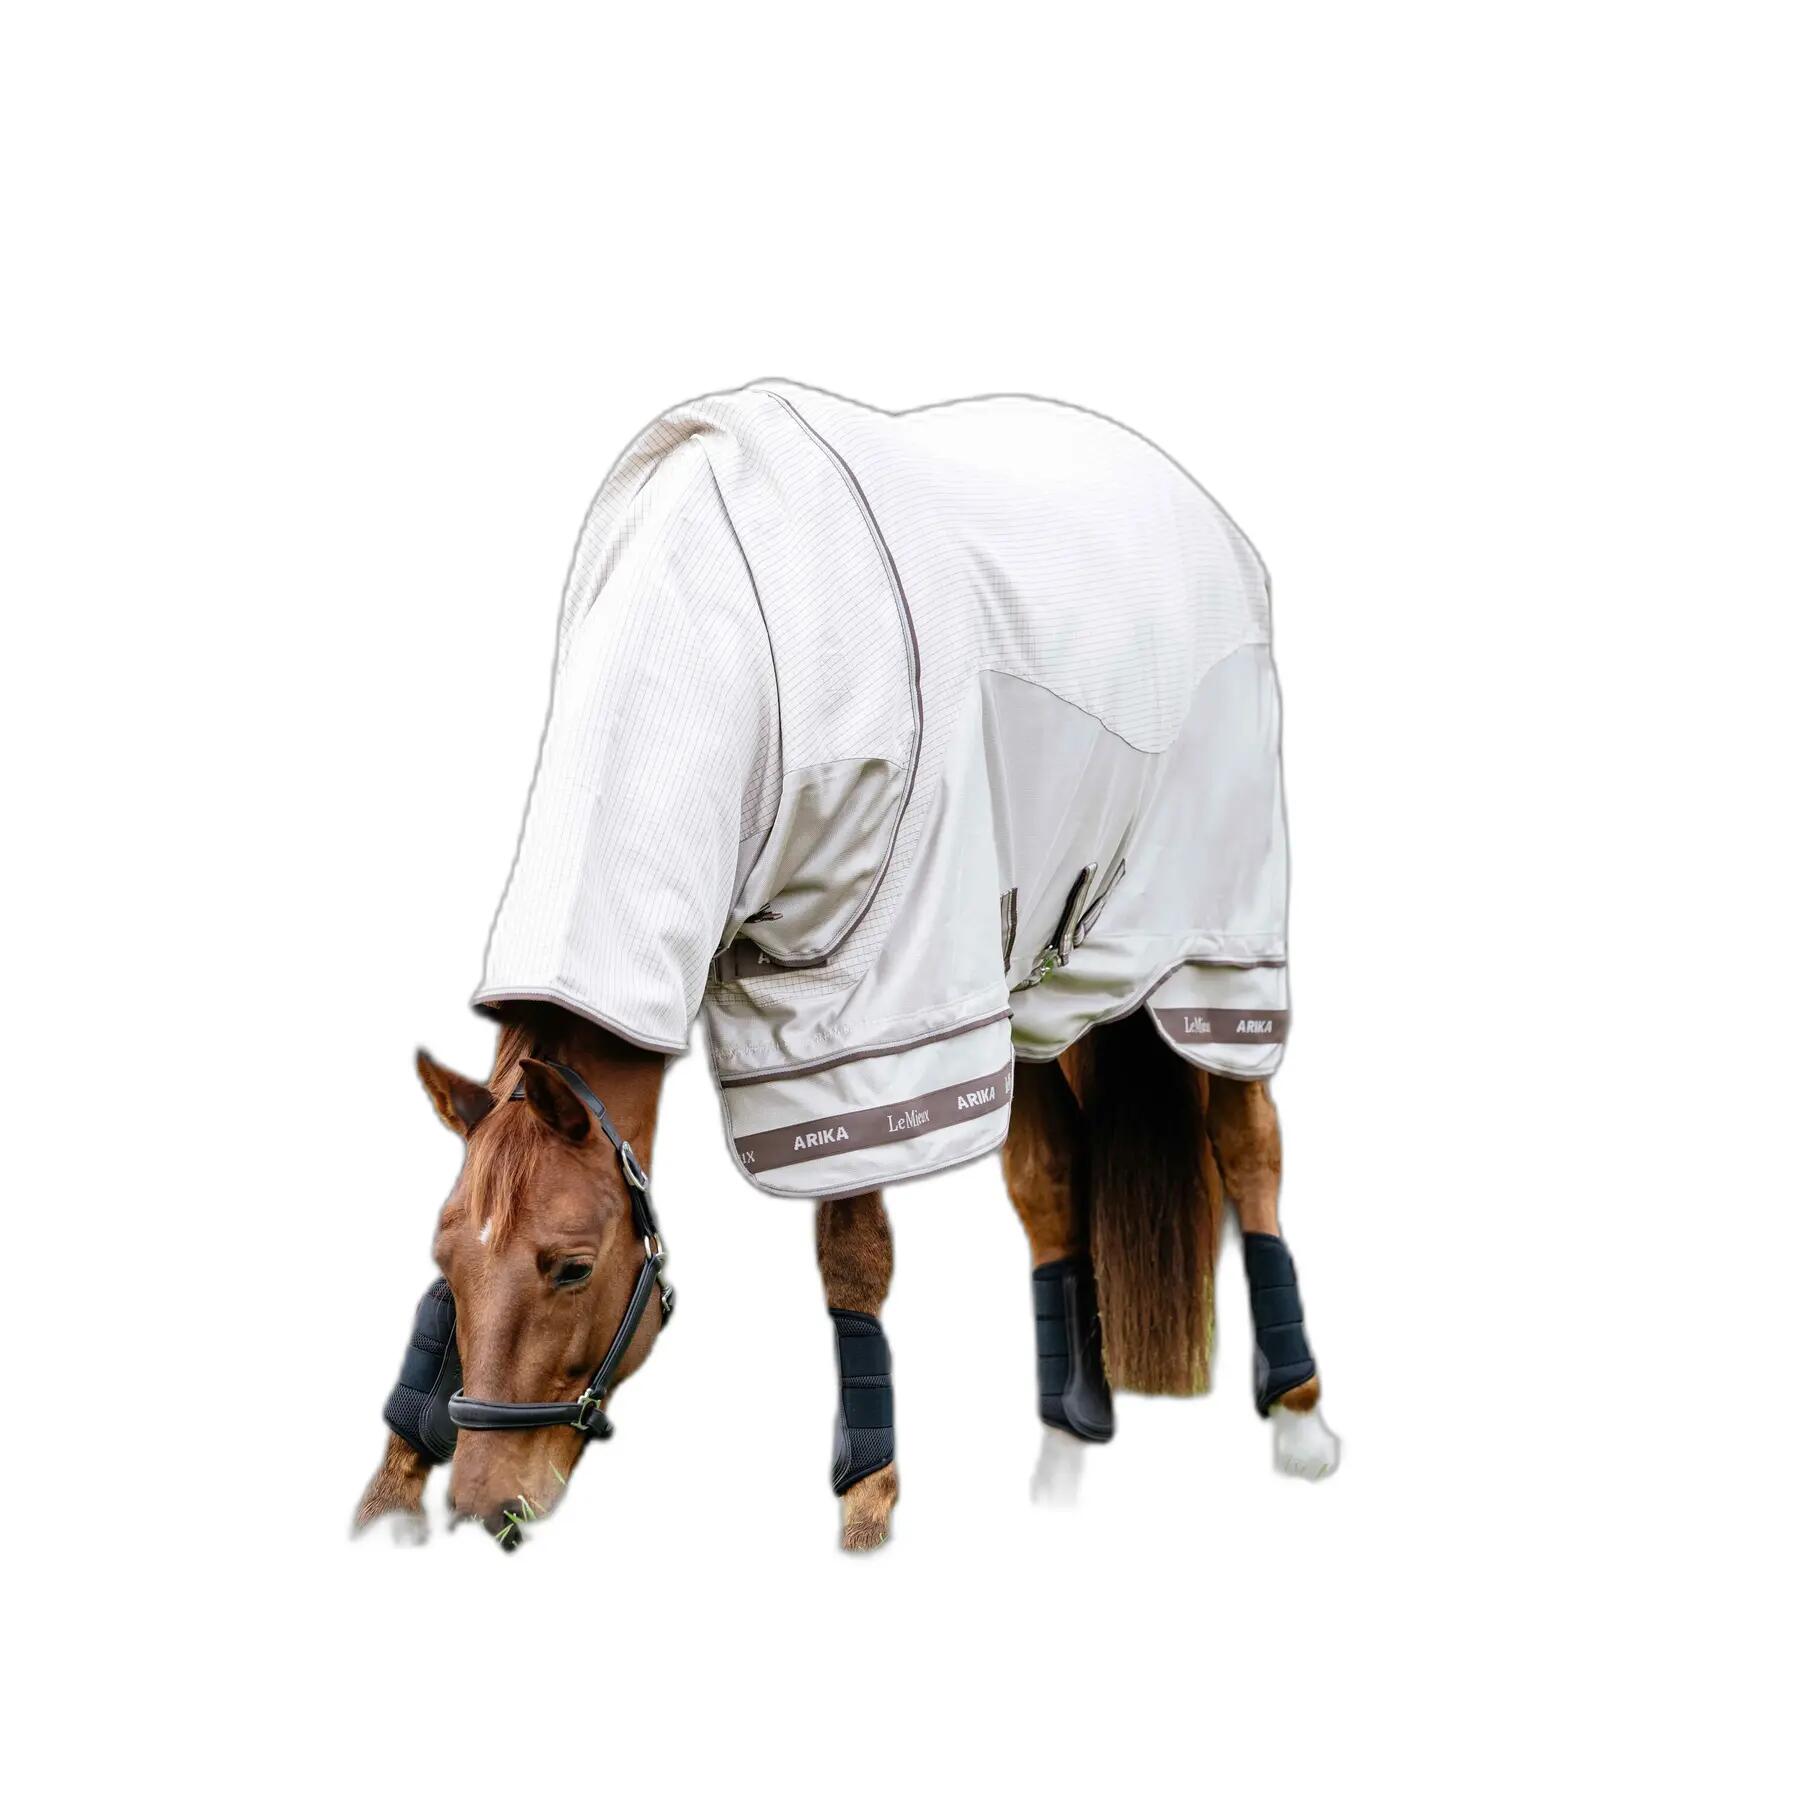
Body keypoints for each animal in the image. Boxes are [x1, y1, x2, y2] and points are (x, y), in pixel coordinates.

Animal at [354, 382, 1340, 1550]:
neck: (722, 635)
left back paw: (1300, 1419)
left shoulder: (864, 1002)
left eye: (573, 1267)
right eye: (446, 1261)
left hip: (1213, 957)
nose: (485, 1505)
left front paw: (868, 1503)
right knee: (1053, 1181)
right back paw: (1062, 1454)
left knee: (1249, 1143)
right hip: (1035, 991)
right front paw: (391, 1482)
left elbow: (853, 1252)